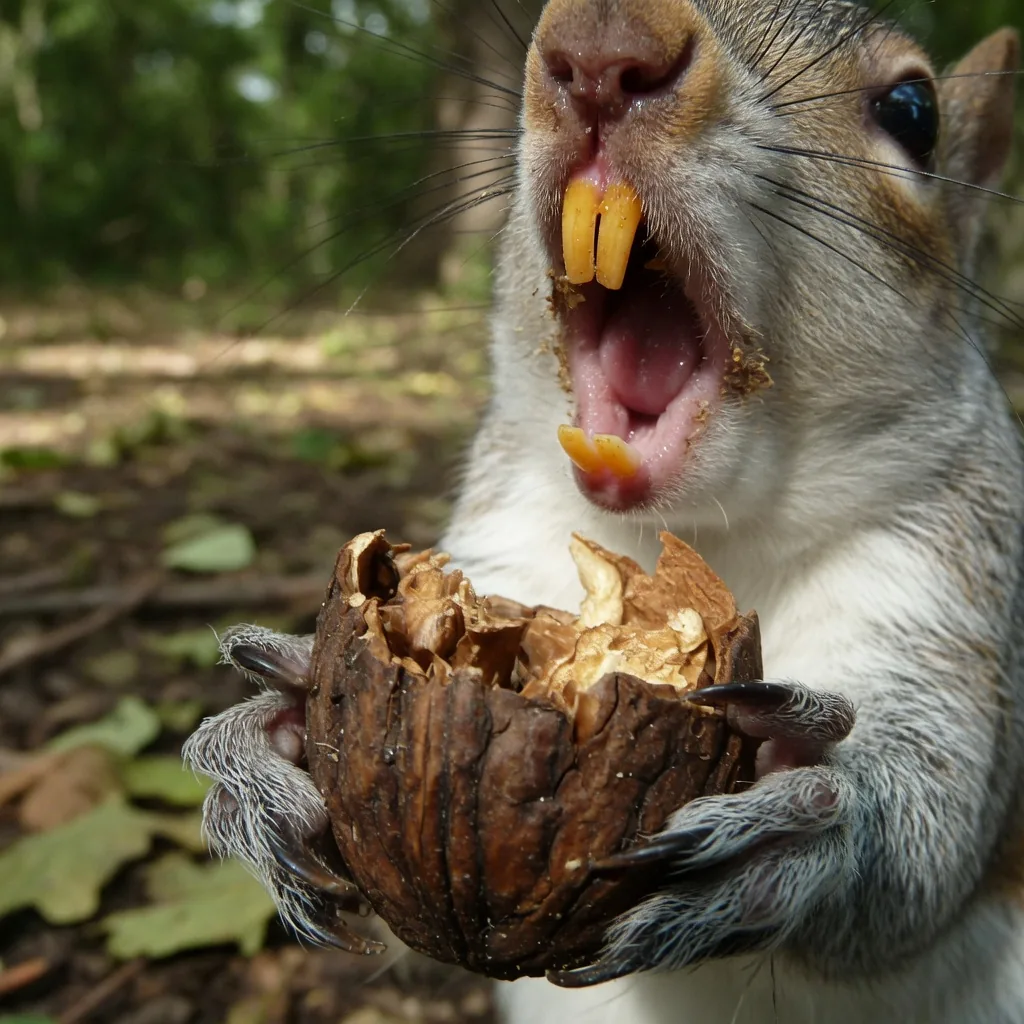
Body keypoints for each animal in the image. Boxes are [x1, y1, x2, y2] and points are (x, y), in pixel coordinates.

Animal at [183, 0, 1024, 1021]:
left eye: (914, 111)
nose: (600, 39)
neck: (702, 535)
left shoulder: (952, 580)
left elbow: (935, 836)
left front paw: (809, 812)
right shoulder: (502, 544)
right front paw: (271, 729)